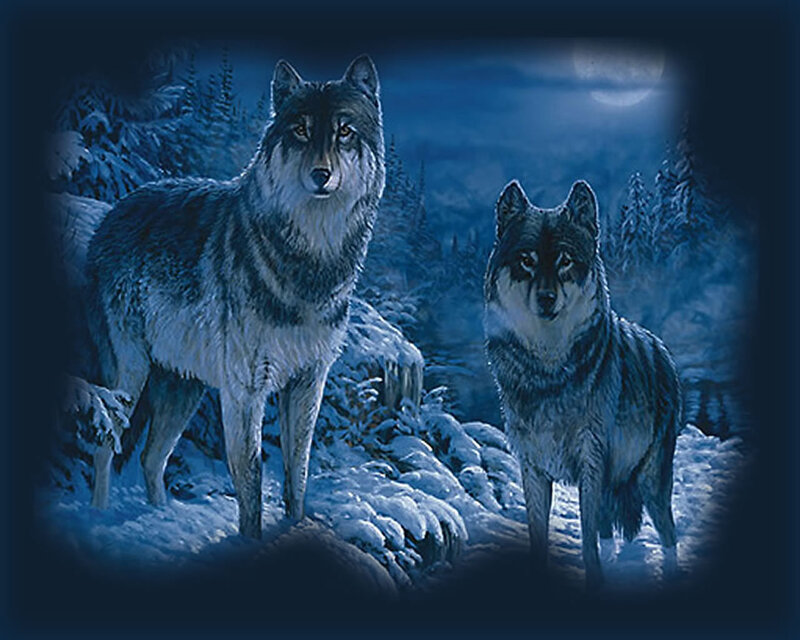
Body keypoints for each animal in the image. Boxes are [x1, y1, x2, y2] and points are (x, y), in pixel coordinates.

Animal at [85, 55, 385, 538]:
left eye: (344, 131)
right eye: (300, 130)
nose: (321, 175)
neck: (310, 265)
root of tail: (116, 209)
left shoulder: (309, 381)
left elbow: (297, 471)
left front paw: (296, 525)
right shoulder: (245, 389)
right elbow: (251, 481)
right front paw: (252, 542)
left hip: (183, 389)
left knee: (151, 459)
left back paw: (161, 518)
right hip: (129, 376)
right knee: (104, 447)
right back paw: (97, 519)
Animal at [484, 179, 681, 588]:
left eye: (564, 260)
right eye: (527, 260)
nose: (546, 299)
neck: (547, 371)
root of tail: (662, 349)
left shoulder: (591, 465)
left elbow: (588, 545)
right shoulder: (533, 469)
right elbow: (542, 537)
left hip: (651, 481)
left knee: (668, 536)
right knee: (608, 533)